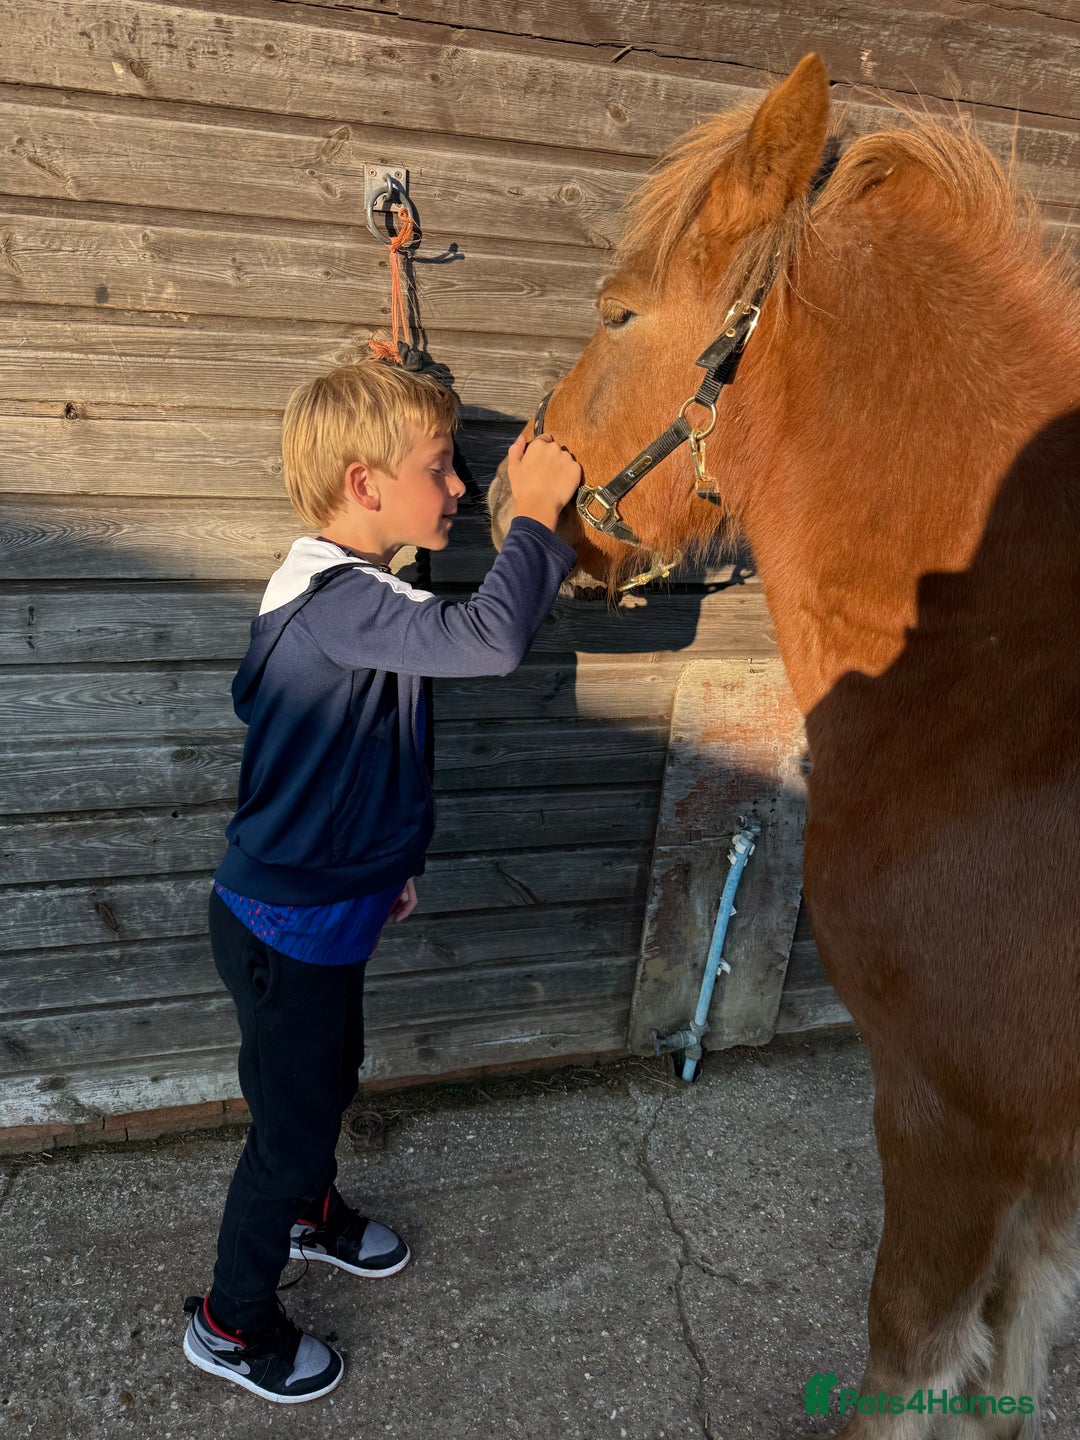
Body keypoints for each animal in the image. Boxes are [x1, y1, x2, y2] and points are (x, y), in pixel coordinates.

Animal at [487, 54, 1080, 1439]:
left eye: (618, 314)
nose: (498, 497)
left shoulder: (953, 1119)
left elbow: (914, 1359)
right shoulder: (1043, 1166)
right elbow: (1019, 1346)